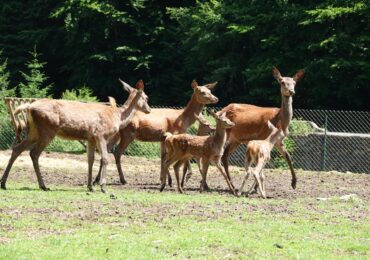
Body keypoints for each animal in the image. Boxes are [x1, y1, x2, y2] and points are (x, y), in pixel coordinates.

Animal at [0, 79, 150, 193]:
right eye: (146, 97)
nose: (148, 109)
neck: (117, 117)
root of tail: (29, 107)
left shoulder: (90, 138)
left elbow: (90, 159)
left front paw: (90, 186)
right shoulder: (100, 134)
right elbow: (105, 158)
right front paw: (103, 187)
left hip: (34, 131)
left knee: (18, 149)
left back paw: (4, 183)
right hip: (47, 130)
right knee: (34, 153)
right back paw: (43, 185)